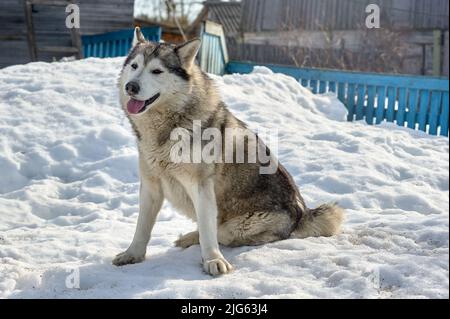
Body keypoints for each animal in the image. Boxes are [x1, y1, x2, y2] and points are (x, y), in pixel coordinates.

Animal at [113, 28, 344, 278]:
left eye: (157, 71)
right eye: (135, 66)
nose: (131, 87)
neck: (169, 126)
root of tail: (303, 214)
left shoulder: (201, 187)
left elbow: (208, 232)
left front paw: (213, 260)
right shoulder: (151, 186)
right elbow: (141, 228)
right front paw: (132, 255)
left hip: (241, 223)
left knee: (221, 232)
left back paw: (194, 239)